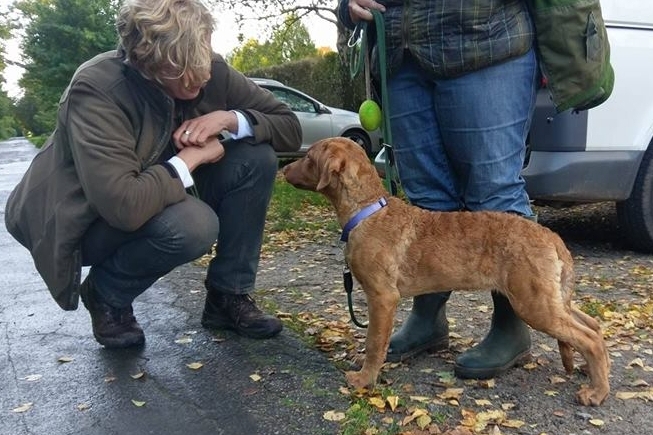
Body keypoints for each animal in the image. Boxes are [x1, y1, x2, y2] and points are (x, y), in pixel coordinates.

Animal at [284, 137, 612, 406]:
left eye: (309, 157)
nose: (284, 169)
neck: (366, 210)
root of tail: (551, 236)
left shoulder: (382, 297)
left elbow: (375, 342)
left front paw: (364, 379)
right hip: (550, 297)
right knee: (592, 325)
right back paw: (594, 372)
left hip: (534, 302)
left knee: (589, 338)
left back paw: (597, 392)